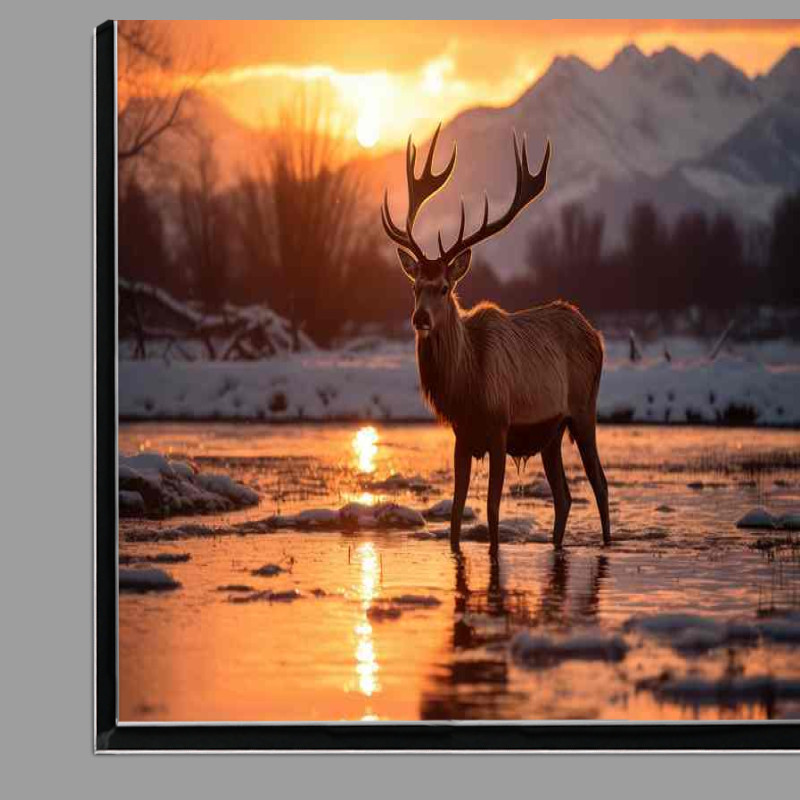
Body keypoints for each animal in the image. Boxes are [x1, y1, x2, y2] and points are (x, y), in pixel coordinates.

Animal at [381, 124, 610, 555]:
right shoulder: (461, 435)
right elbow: (456, 512)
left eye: (444, 287)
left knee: (600, 484)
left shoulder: (500, 428)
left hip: (584, 409)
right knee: (564, 496)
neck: (466, 388)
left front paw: (493, 553)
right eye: (415, 286)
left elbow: (491, 510)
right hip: (552, 432)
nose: (420, 318)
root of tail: (596, 335)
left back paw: (607, 543)